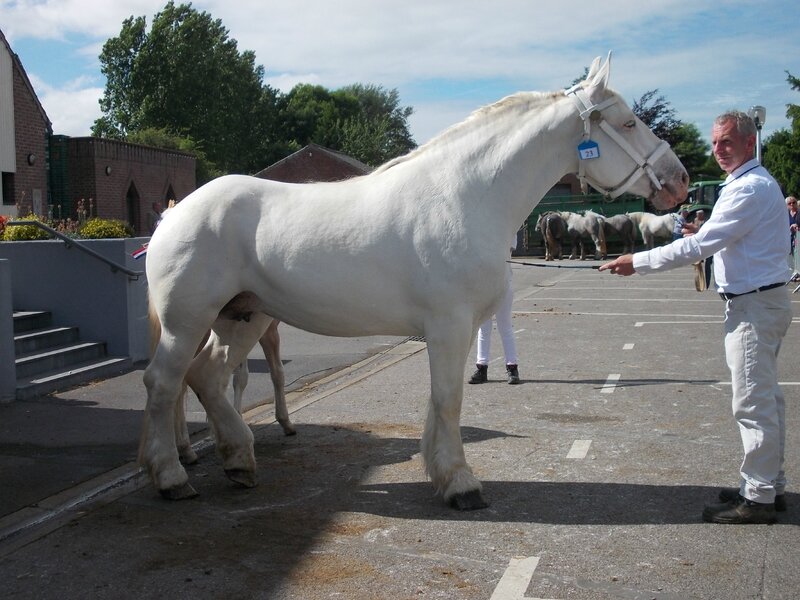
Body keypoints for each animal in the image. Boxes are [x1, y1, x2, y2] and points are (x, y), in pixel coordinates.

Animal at [139, 54, 688, 508]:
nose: (679, 179)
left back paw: (239, 463)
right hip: (188, 321)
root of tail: (173, 213)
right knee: (164, 382)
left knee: (206, 376)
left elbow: (439, 403)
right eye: (628, 122)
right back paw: (172, 478)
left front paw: (443, 475)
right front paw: (461, 485)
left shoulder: (453, 329)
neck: (464, 195)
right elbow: (448, 402)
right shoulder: (450, 325)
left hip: (244, 316)